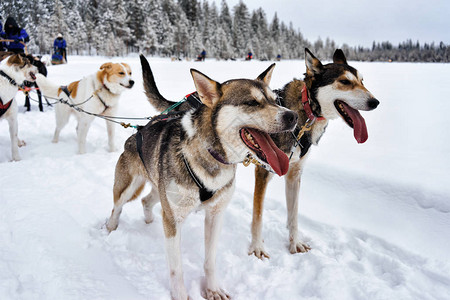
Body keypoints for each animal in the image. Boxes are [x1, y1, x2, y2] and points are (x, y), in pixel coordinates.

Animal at [107, 56, 298, 300]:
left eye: (276, 100)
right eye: (252, 102)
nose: (292, 115)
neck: (211, 154)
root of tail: (140, 128)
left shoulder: (215, 214)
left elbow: (210, 259)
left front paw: (212, 289)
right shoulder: (174, 219)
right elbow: (176, 267)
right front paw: (180, 294)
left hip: (161, 194)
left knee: (146, 201)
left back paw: (149, 223)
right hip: (129, 187)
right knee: (117, 207)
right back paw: (110, 229)